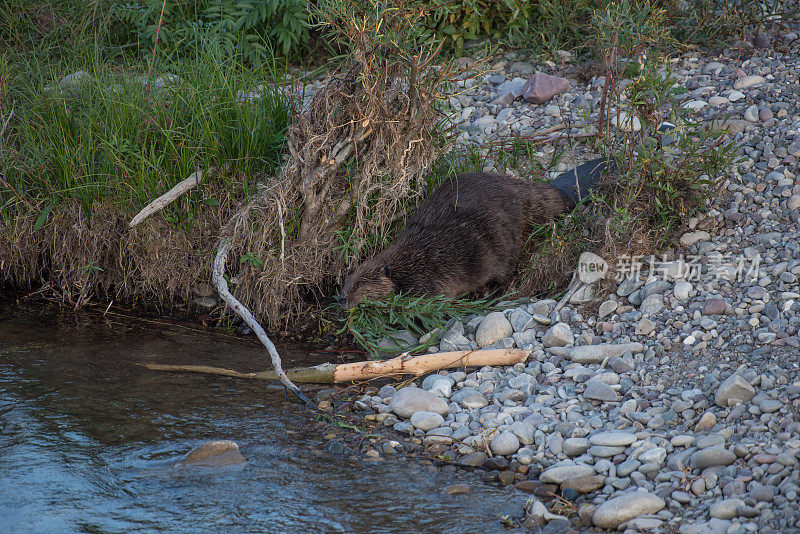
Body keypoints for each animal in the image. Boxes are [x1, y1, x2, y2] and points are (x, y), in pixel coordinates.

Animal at [338, 157, 612, 308]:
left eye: (360, 283)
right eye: (347, 281)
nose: (342, 299)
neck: (404, 263)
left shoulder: (429, 278)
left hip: (503, 242)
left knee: (506, 272)